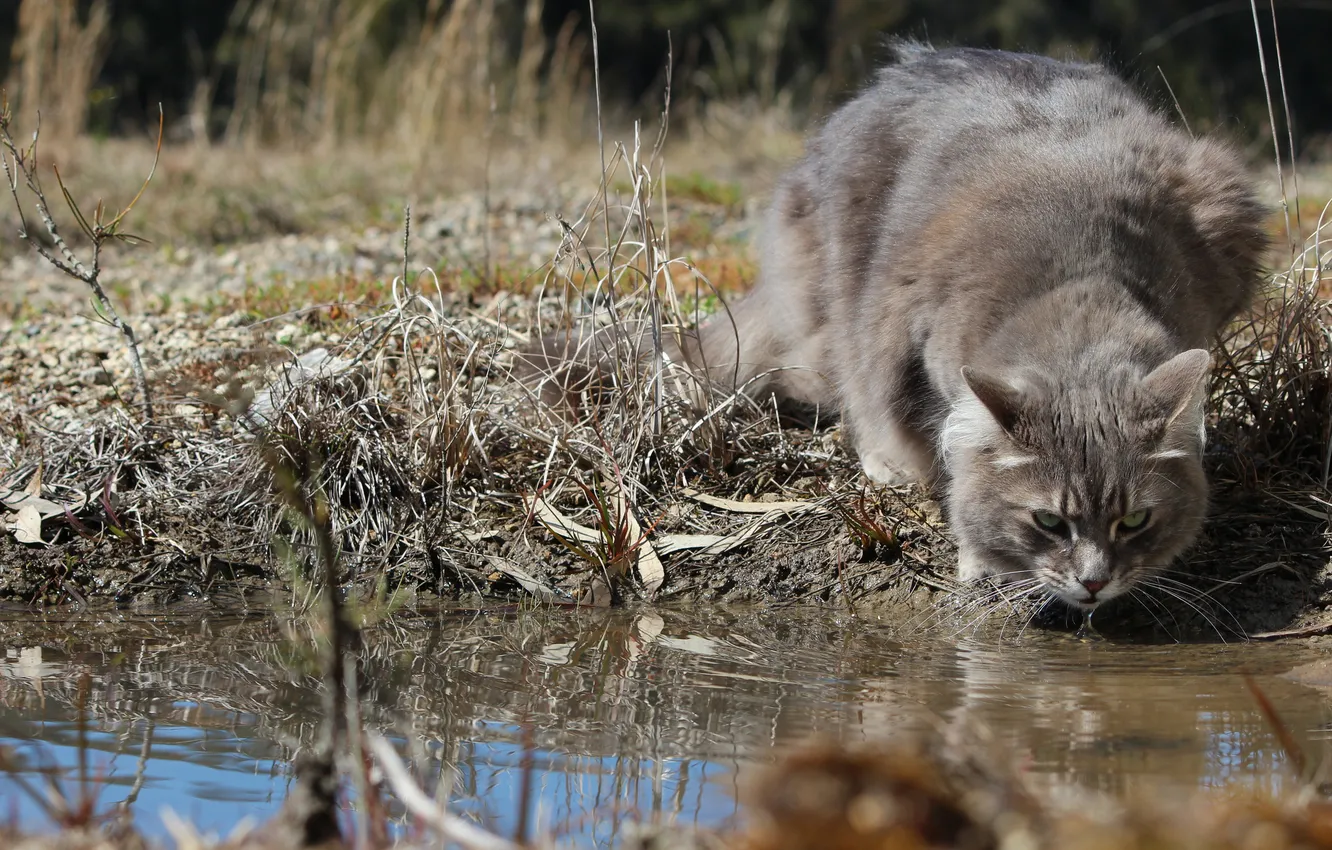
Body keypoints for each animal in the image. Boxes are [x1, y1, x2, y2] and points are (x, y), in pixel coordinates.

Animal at [522, 43, 1268, 612]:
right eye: (1049, 522)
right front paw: (979, 556)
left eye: (1135, 520)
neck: (1082, 275)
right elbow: (946, 446)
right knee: (848, 386)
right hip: (849, 288)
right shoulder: (910, 337)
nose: (1093, 583)